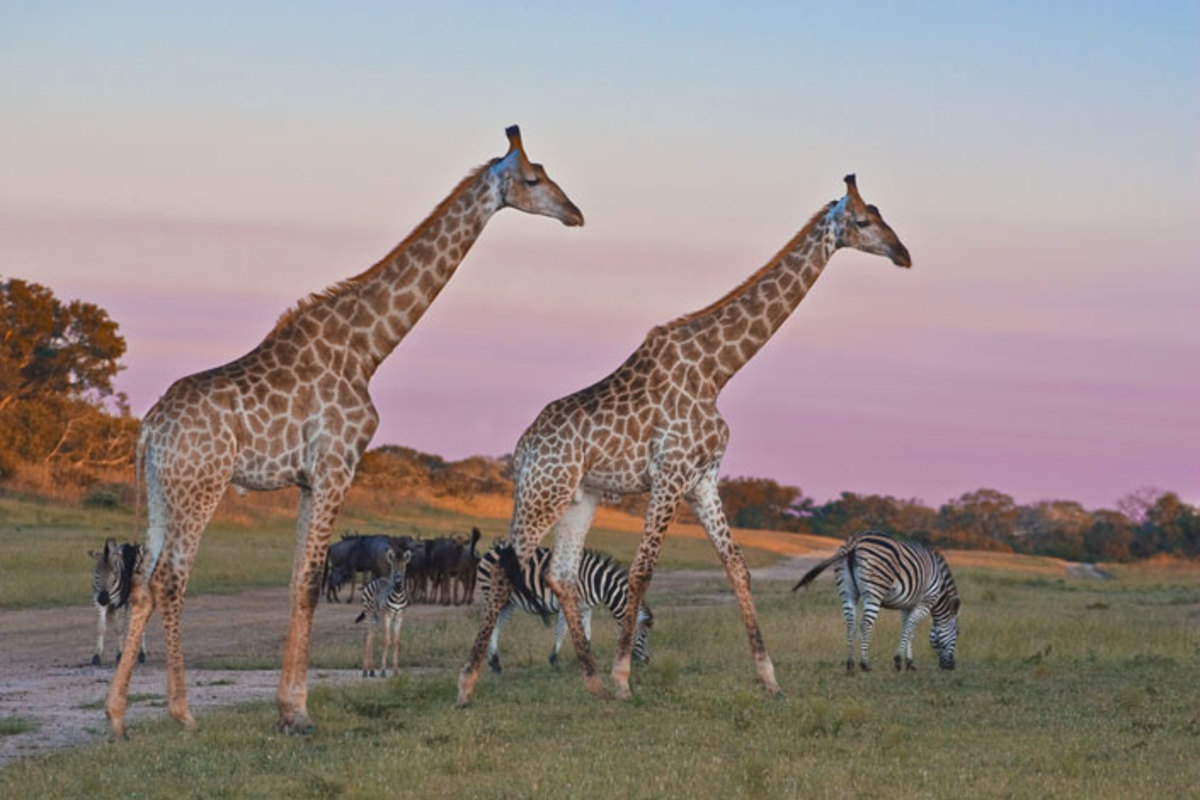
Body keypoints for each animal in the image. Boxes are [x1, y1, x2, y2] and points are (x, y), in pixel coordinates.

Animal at [350, 546, 412, 681]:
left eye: (404, 568)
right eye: (393, 569)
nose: (398, 581)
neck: (398, 595)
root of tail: (377, 579)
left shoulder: (399, 617)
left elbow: (396, 641)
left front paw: (396, 671)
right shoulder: (387, 616)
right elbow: (387, 640)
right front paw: (383, 671)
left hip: (377, 617)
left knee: (372, 636)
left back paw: (372, 671)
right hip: (369, 613)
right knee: (367, 637)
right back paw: (365, 671)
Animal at [475, 546, 657, 671]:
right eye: (644, 635)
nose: (648, 661)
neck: (597, 582)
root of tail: (490, 550)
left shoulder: (586, 608)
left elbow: (587, 633)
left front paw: (586, 658)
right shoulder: (568, 603)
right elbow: (562, 630)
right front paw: (553, 659)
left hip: (508, 602)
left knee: (497, 625)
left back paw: (495, 663)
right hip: (493, 595)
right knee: (489, 625)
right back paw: (492, 662)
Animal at [792, 534, 960, 671]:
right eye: (957, 633)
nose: (951, 667)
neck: (939, 589)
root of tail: (855, 540)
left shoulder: (907, 606)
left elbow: (908, 629)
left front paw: (909, 663)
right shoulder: (925, 602)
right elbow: (910, 629)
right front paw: (899, 661)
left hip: (847, 592)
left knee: (850, 624)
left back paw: (850, 664)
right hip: (874, 593)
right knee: (865, 625)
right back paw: (865, 664)